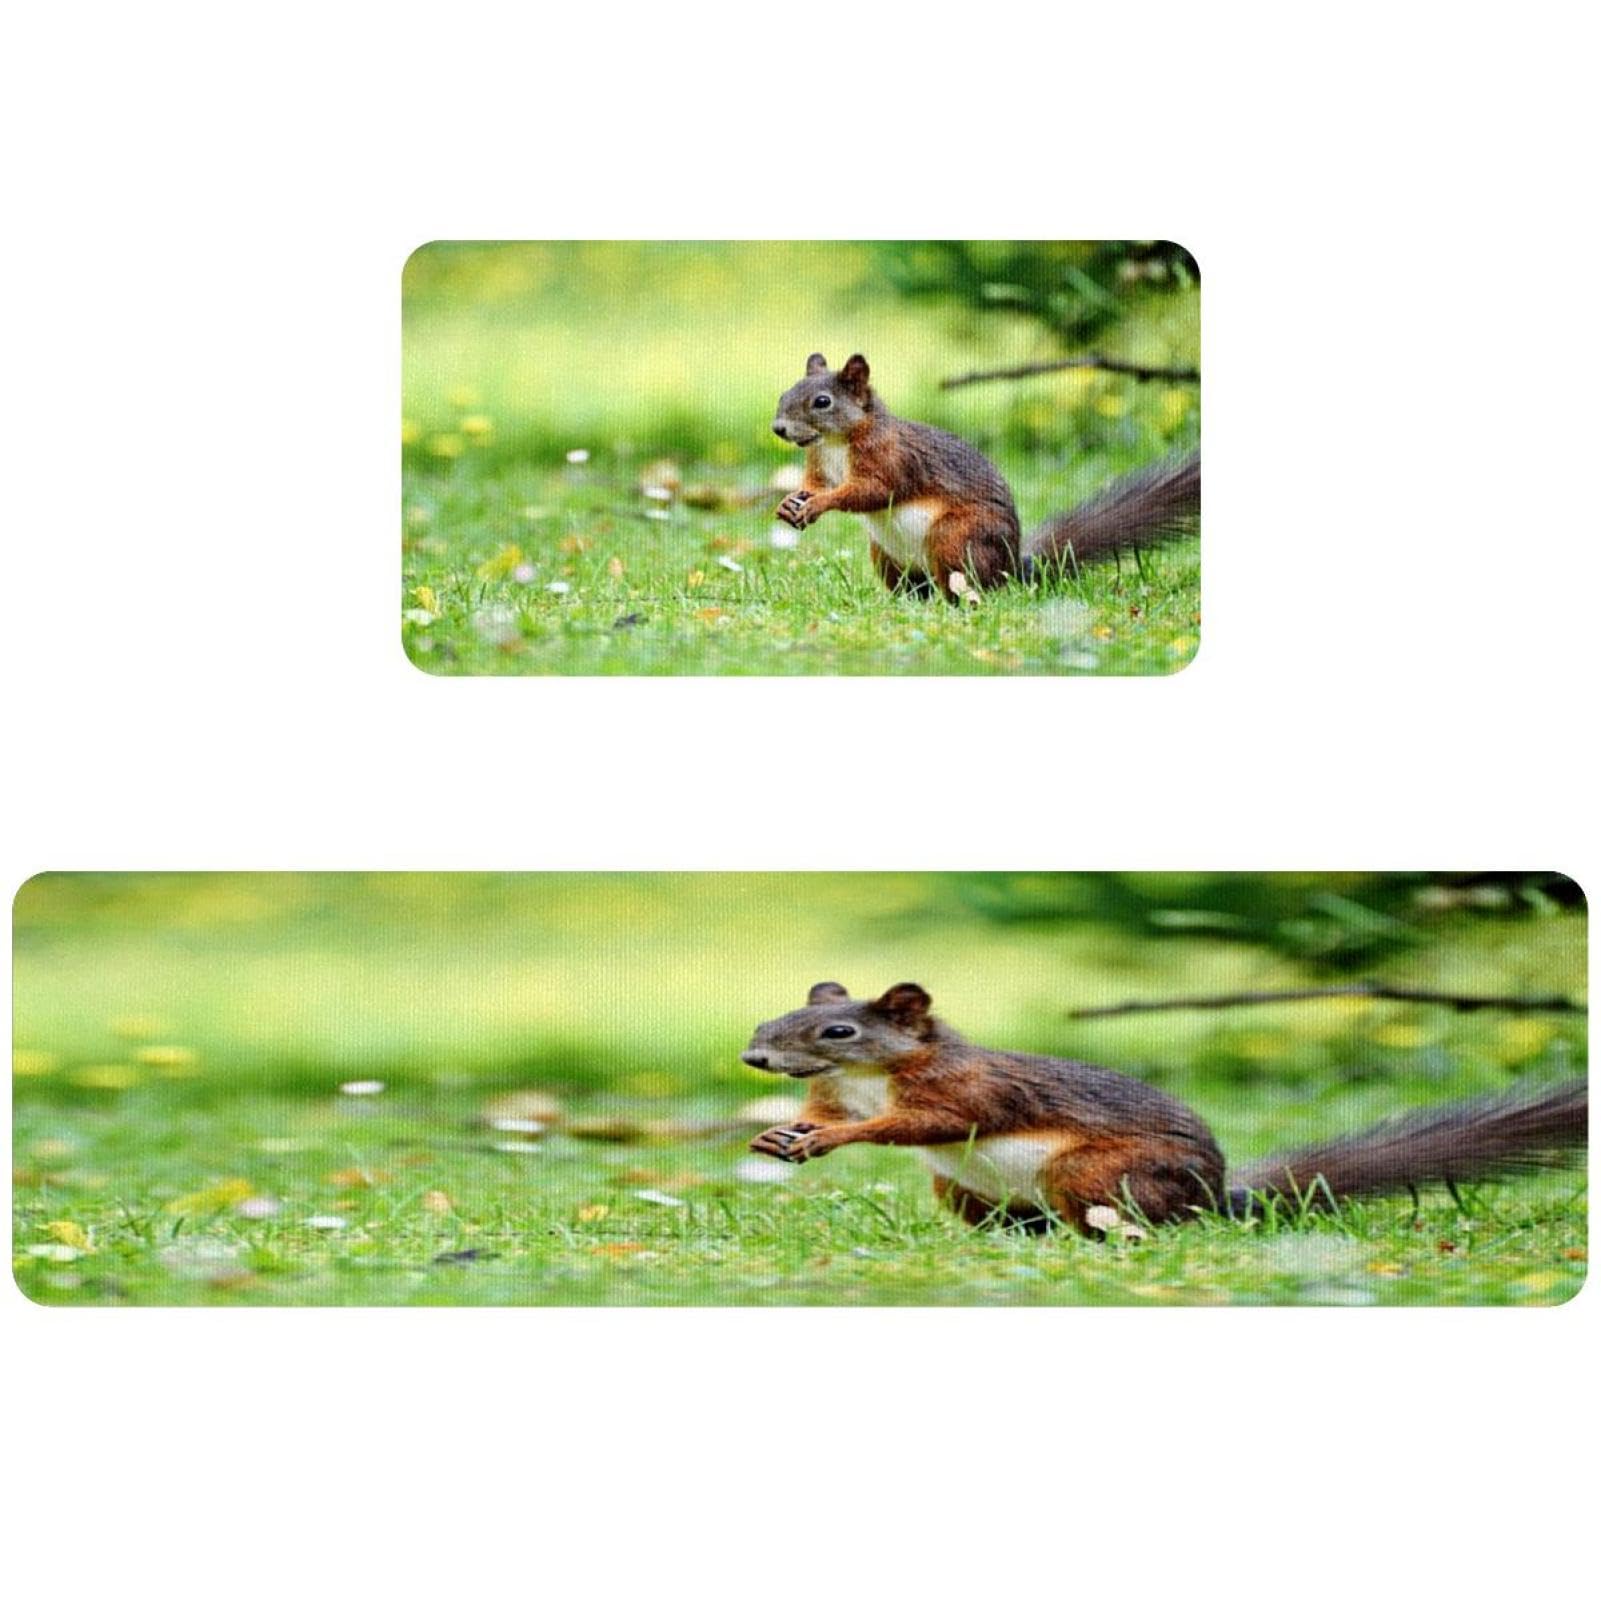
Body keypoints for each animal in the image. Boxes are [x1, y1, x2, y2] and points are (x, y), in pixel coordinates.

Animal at [742, 981, 1588, 1235]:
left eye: (839, 1029)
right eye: (771, 1019)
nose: (754, 1059)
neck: (864, 1078)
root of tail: (1213, 1198)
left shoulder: (969, 1088)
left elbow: (930, 1124)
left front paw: (838, 1138)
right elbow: (820, 1113)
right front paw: (785, 1133)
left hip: (1094, 1172)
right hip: (960, 1186)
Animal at [770, 353, 1199, 601]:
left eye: (822, 402)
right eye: (784, 394)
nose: (779, 429)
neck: (836, 442)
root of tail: (1012, 567)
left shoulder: (892, 459)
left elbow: (872, 491)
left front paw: (821, 505)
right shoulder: (820, 462)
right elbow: (815, 484)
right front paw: (791, 502)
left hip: (956, 537)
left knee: (964, 584)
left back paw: (953, 605)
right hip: (886, 554)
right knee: (914, 588)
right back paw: (899, 604)